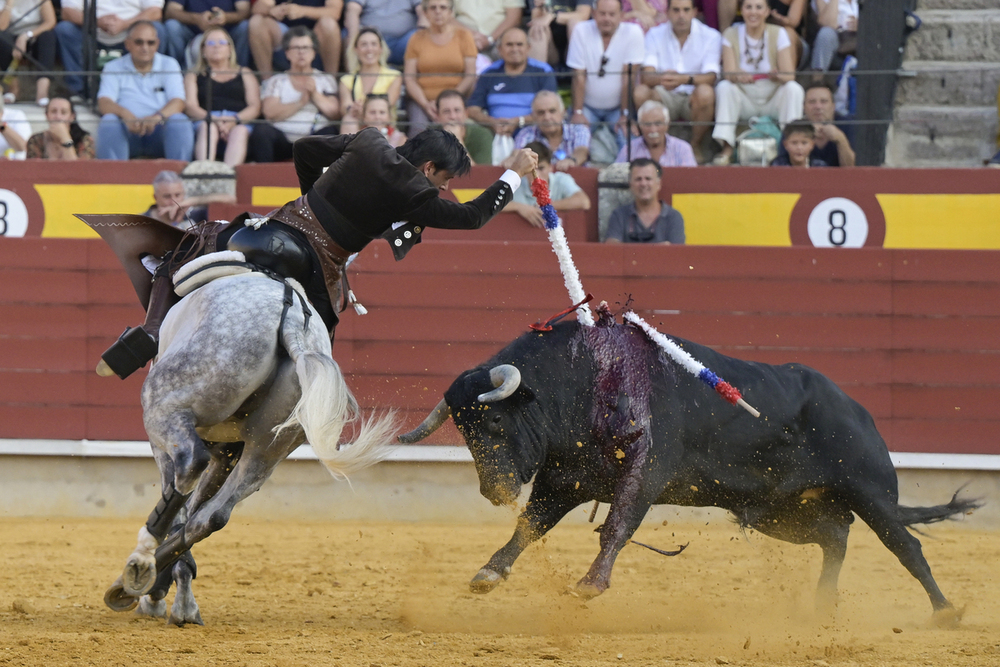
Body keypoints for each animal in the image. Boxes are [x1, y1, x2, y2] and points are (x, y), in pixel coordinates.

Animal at [103, 258, 394, 628]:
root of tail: (293, 321)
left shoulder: (176, 446)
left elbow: (178, 503)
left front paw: (156, 590)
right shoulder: (227, 454)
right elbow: (193, 513)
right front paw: (173, 597)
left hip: (163, 406)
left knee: (189, 465)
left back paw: (138, 563)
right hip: (267, 449)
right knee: (212, 517)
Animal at [398, 320, 976, 620]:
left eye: (495, 419)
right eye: (462, 430)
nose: (493, 491)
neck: (583, 379)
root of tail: (855, 407)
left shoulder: (645, 474)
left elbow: (618, 526)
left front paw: (589, 585)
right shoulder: (564, 479)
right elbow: (529, 526)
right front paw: (488, 573)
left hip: (869, 490)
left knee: (904, 545)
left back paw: (945, 610)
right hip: (776, 511)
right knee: (835, 535)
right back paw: (819, 607)